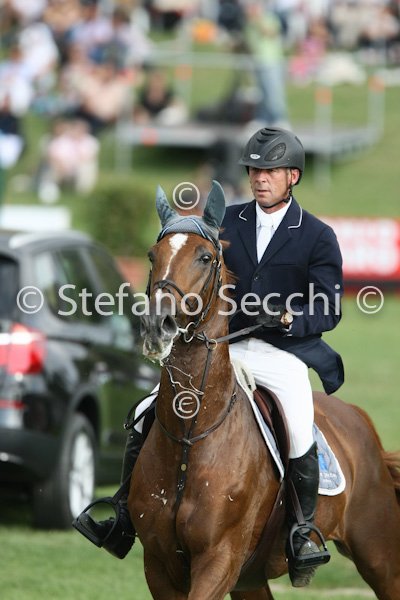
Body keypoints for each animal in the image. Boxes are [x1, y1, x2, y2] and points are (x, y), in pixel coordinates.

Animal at [129, 181, 400, 600]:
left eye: (205, 257)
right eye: (152, 255)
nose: (158, 325)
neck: (191, 437)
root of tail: (359, 419)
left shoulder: (219, 559)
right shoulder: (158, 563)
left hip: (379, 554)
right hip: (251, 578)